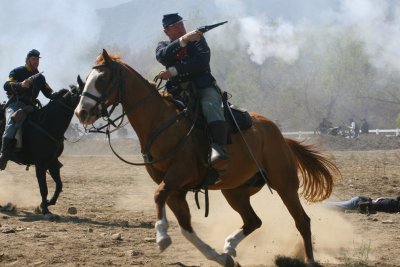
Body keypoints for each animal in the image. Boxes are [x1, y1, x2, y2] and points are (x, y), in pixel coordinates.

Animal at [74, 49, 338, 266]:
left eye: (102, 79)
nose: (81, 113)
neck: (161, 122)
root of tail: (281, 136)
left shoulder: (178, 175)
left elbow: (158, 196)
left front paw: (162, 236)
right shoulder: (176, 189)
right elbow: (186, 228)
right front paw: (219, 257)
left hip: (284, 184)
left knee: (302, 221)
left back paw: (309, 260)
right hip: (235, 191)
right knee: (254, 221)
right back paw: (229, 247)